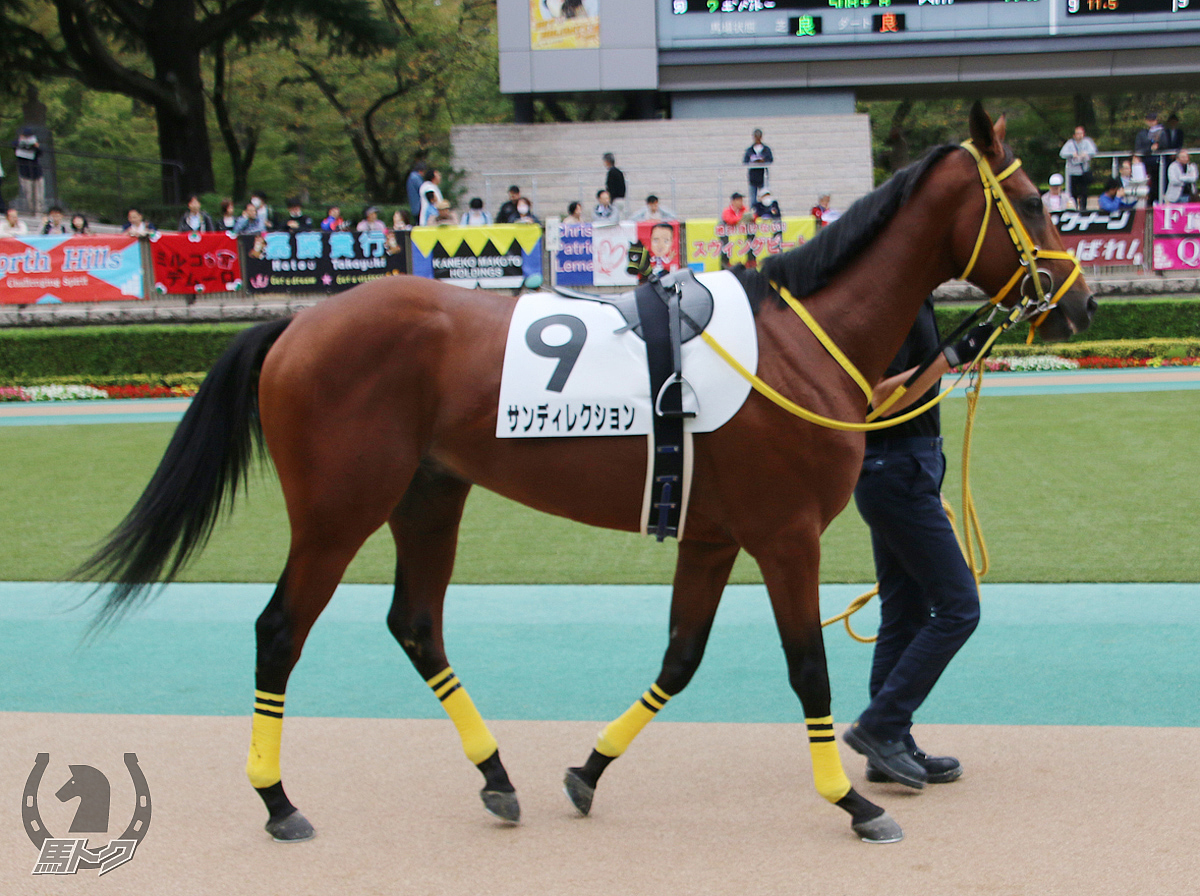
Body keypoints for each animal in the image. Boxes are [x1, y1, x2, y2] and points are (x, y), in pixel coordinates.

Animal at [79, 101, 1099, 844]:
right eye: (1034, 203)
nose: (1082, 301)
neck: (800, 343)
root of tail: (298, 322)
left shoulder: (714, 534)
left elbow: (680, 658)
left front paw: (587, 769)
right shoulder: (785, 536)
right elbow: (809, 670)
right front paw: (851, 802)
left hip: (429, 496)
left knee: (416, 624)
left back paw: (497, 776)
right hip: (338, 510)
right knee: (280, 629)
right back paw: (278, 799)